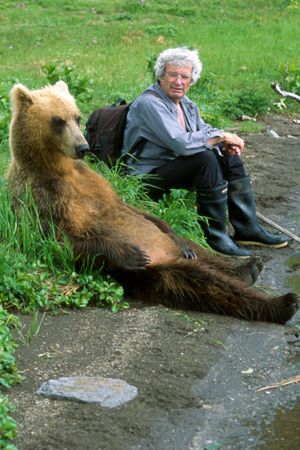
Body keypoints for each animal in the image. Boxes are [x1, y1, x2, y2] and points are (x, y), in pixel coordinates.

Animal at [5, 81, 298, 324]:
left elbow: (130, 208)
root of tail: (171, 258)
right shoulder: (41, 196)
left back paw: (246, 268)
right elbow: (58, 240)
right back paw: (281, 303)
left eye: (76, 117)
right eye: (58, 120)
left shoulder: (94, 182)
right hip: (158, 273)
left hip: (171, 250)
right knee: (207, 285)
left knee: (200, 251)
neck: (58, 168)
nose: (83, 147)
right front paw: (132, 253)